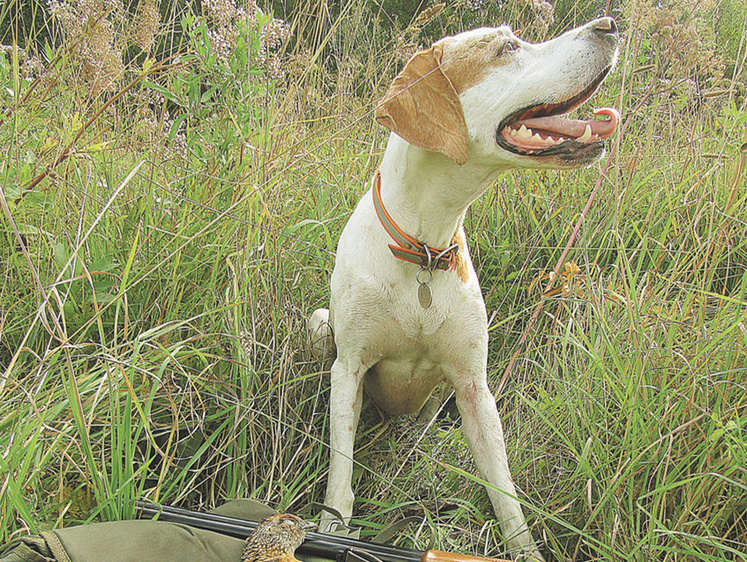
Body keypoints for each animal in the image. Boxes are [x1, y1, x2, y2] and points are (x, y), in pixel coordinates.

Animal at [310, 17, 620, 556]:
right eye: (508, 47)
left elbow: (505, 494)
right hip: (319, 326)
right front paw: (332, 532)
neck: (423, 250)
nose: (609, 23)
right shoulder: (347, 370)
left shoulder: (475, 388)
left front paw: (524, 550)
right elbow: (340, 480)